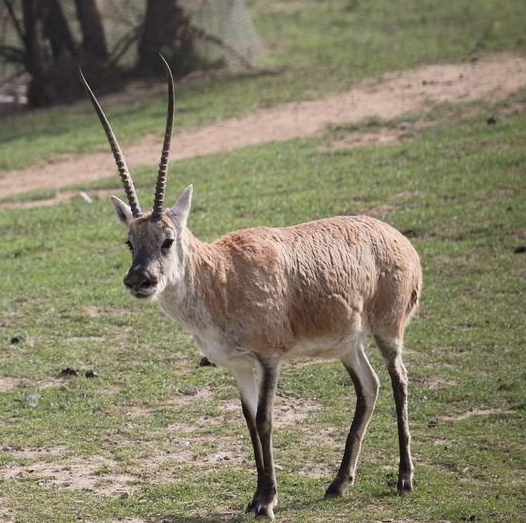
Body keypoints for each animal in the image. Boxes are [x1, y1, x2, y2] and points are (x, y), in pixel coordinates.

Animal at [79, 58, 424, 520]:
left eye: (168, 239)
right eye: (130, 242)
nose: (140, 280)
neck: (221, 276)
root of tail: (399, 239)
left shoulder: (268, 358)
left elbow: (265, 420)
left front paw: (268, 500)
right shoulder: (239, 365)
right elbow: (247, 421)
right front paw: (256, 496)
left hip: (388, 330)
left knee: (399, 380)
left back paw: (404, 478)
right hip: (347, 344)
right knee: (369, 387)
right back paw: (338, 483)